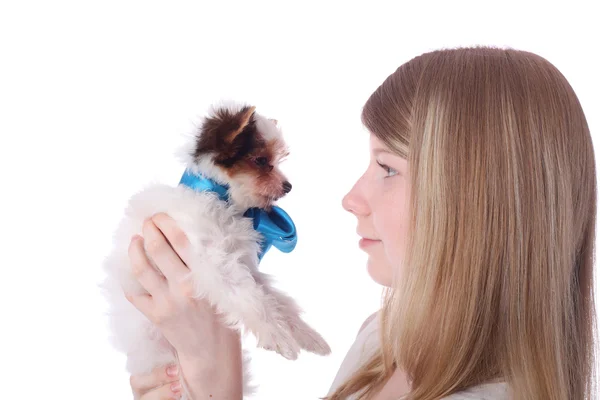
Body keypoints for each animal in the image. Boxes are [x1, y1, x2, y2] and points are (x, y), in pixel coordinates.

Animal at [100, 102, 330, 396]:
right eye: (261, 161)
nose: (288, 186)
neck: (223, 200)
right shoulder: (216, 262)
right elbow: (252, 299)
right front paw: (278, 336)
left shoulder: (245, 265)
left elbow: (278, 301)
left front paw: (307, 335)